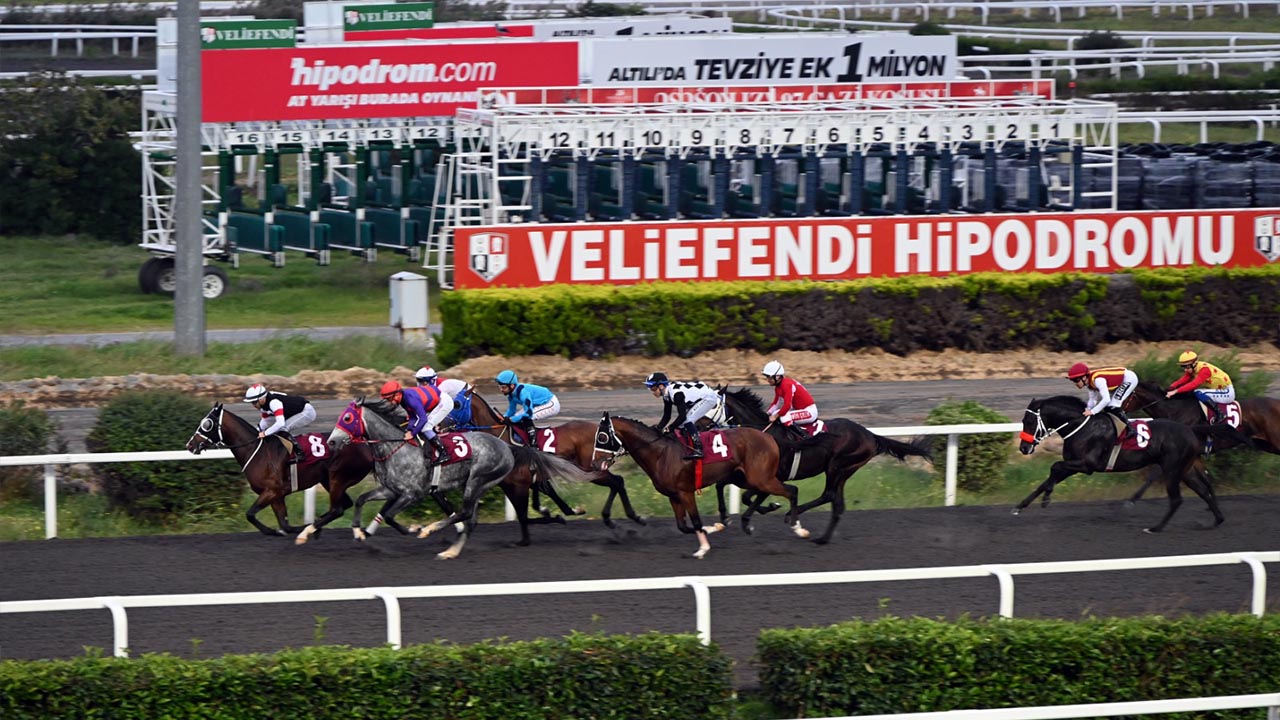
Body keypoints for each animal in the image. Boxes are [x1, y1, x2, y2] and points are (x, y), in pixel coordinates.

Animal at [185, 399, 373, 535]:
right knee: (343, 505)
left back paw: (314, 526)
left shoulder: (272, 491)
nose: (190, 445)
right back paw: (314, 525)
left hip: (338, 478)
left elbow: (250, 514)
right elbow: (285, 525)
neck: (257, 450)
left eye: (207, 423)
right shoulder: (277, 496)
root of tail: (365, 445)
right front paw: (290, 529)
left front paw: (273, 531)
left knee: (337, 509)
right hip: (329, 480)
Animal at [453, 389, 650, 525]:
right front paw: (560, 512)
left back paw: (626, 517)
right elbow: (542, 499)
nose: (446, 425)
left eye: (456, 404)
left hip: (590, 469)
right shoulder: (534, 478)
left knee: (617, 481)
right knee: (617, 482)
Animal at [593, 412, 803, 558]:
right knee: (766, 493)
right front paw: (714, 527)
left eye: (602, 437)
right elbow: (683, 526)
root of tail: (769, 438)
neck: (660, 453)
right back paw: (756, 519)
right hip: (746, 477)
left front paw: (703, 548)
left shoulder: (685, 491)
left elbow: (695, 521)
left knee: (792, 491)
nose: (595, 463)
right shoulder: (673, 496)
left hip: (760, 477)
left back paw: (797, 527)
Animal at [716, 384, 936, 540]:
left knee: (828, 494)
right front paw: (768, 508)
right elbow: (743, 495)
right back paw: (822, 539)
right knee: (837, 504)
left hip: (836, 466)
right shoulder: (754, 477)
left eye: (711, 404)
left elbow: (753, 496)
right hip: (845, 471)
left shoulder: (773, 477)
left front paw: (768, 513)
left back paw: (794, 517)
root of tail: (871, 435)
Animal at [1018, 392, 1228, 532]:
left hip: (1172, 469)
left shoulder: (1087, 465)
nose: (1023, 448)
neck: (1081, 427)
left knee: (1177, 499)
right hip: (1185, 470)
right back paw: (1217, 519)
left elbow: (1054, 467)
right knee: (1203, 491)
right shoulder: (1073, 464)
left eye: (1029, 422)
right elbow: (1050, 477)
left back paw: (1155, 528)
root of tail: (1190, 430)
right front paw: (1021, 506)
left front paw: (1046, 499)